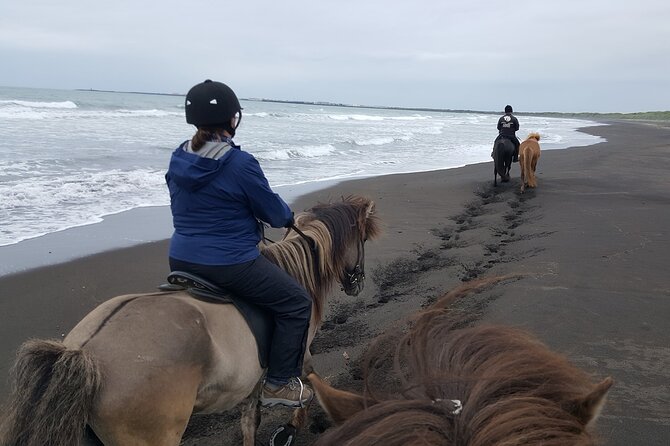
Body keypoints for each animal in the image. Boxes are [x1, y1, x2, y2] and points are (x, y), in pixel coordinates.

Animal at [0, 195, 384, 446]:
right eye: (363, 239)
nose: (357, 283)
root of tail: (85, 352)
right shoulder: (298, 352)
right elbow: (306, 387)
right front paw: (290, 429)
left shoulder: (251, 382)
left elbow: (249, 422)